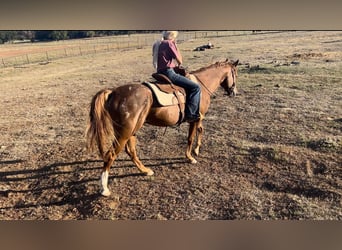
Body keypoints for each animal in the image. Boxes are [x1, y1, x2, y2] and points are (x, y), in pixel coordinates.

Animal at [86, 59, 238, 197]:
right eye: (235, 73)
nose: (234, 92)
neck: (201, 85)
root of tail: (113, 92)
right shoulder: (195, 118)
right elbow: (190, 138)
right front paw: (190, 157)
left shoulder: (198, 119)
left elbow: (200, 131)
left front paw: (196, 150)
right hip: (124, 132)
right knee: (111, 155)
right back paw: (104, 188)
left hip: (131, 131)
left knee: (131, 151)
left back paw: (145, 170)